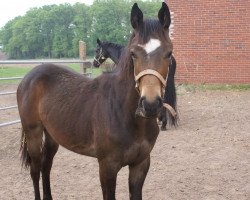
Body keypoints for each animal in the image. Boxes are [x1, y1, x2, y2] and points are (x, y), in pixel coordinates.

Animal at [17, 1, 173, 200]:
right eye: (133, 53)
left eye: (169, 53)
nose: (150, 105)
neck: (125, 112)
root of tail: (28, 77)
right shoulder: (107, 167)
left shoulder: (140, 164)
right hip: (33, 134)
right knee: (35, 169)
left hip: (52, 135)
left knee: (46, 166)